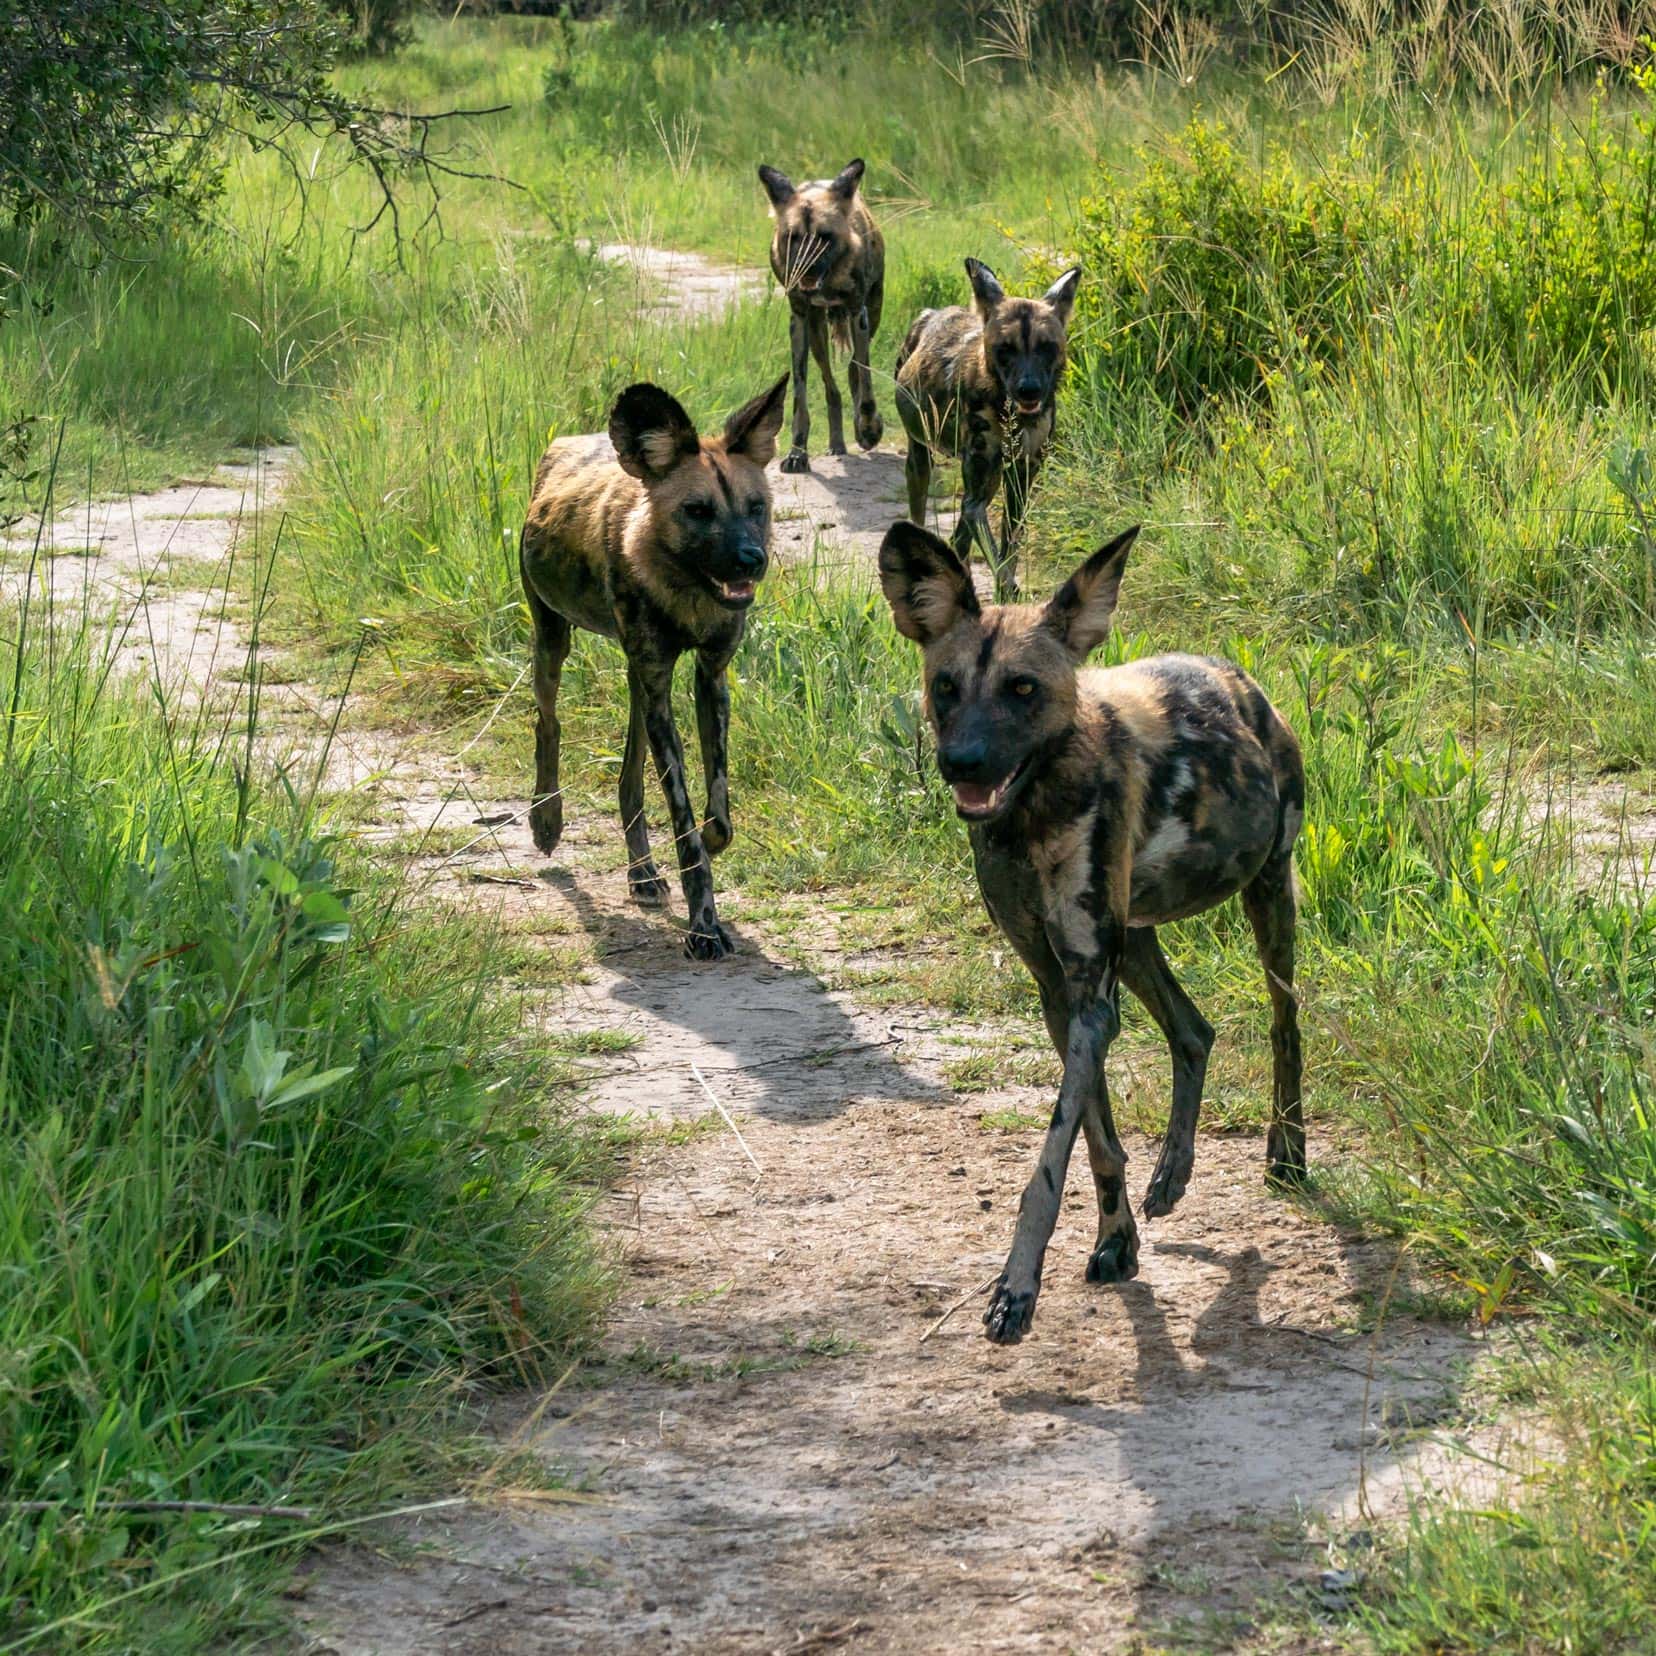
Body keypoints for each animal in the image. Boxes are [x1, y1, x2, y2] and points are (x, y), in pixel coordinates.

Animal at [519, 374, 784, 960]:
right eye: (698, 511)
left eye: (755, 506)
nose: (752, 559)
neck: (685, 588)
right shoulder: (663, 690)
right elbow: (684, 822)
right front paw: (704, 927)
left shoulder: (709, 678)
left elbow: (716, 813)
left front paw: (709, 841)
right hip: (554, 645)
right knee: (547, 722)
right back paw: (546, 819)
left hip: (637, 681)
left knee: (629, 779)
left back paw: (641, 873)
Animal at [758, 157, 887, 473]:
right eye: (793, 237)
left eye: (824, 237)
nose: (805, 268)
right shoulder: (800, 319)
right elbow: (799, 397)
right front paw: (797, 453)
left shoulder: (858, 313)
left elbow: (864, 379)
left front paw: (868, 430)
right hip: (817, 334)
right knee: (832, 387)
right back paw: (837, 443)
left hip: (871, 316)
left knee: (853, 370)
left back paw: (859, 428)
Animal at [874, 519, 1311, 1344]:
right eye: (947, 687)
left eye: (1023, 689)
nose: (960, 762)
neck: (1032, 811)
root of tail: (1237, 678)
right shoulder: (1060, 991)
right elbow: (1098, 1142)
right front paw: (1116, 1240)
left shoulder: (1087, 998)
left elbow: (1046, 1168)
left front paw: (1016, 1289)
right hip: (1135, 939)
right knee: (1194, 1030)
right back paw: (1172, 1174)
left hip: (1269, 898)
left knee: (1284, 1026)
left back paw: (1289, 1156)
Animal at [900, 264, 1079, 609]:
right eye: (1004, 349)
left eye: (1046, 347)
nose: (1029, 389)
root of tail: (933, 313)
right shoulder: (978, 491)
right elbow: (997, 558)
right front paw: (1009, 593)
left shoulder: (1020, 479)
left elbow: (1009, 552)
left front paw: (1005, 595)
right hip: (922, 461)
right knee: (923, 519)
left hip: (991, 480)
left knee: (958, 541)